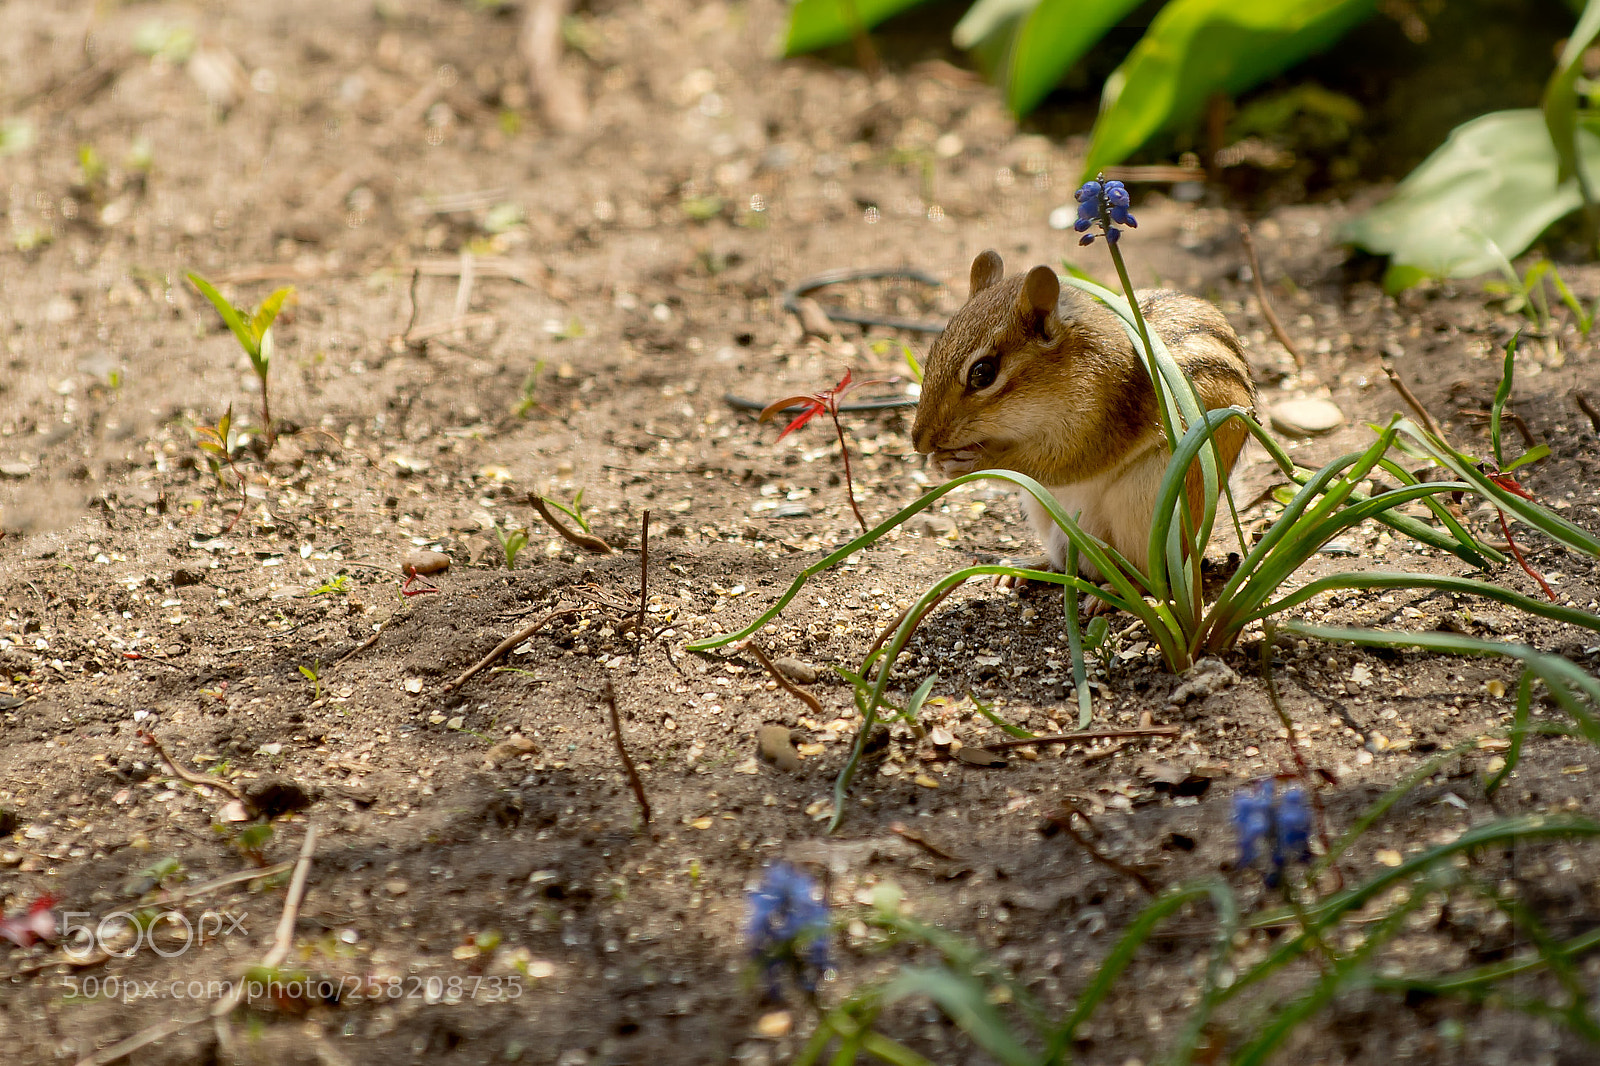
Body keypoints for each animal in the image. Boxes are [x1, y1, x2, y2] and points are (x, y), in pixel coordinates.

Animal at [911, 249, 1257, 583]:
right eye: (932, 352)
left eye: (983, 374)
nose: (919, 442)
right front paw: (937, 461)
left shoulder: (1101, 419)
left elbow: (1059, 462)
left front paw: (971, 461)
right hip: (1042, 508)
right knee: (1065, 559)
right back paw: (1025, 568)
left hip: (1149, 506)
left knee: (1152, 575)